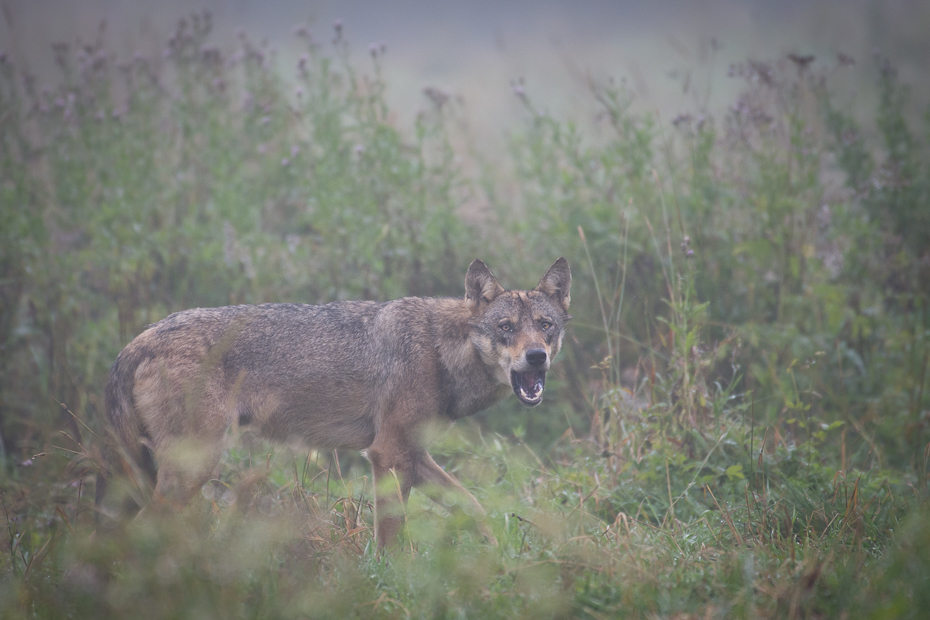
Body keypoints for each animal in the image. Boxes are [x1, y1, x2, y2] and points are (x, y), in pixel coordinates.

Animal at [98, 256, 568, 548]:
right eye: (506, 327)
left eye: (545, 326)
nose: (536, 356)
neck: (439, 350)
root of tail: (136, 342)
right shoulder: (388, 454)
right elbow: (391, 536)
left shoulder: (413, 456)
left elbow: (472, 506)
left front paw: (499, 558)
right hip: (192, 468)